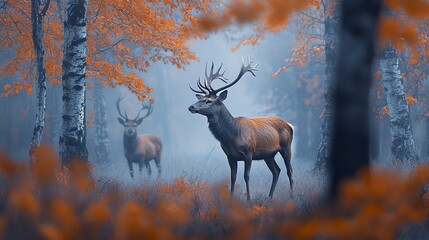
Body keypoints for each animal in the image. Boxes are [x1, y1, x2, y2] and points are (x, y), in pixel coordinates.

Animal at [188, 57, 292, 201]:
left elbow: (246, 176)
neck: (232, 136)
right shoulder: (230, 156)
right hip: (269, 155)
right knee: (277, 171)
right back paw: (269, 197)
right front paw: (231, 199)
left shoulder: (249, 153)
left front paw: (249, 199)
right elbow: (233, 177)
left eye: (209, 101)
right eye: (201, 98)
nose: (191, 107)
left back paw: (292, 196)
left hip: (286, 147)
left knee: (289, 171)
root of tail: (289, 124)